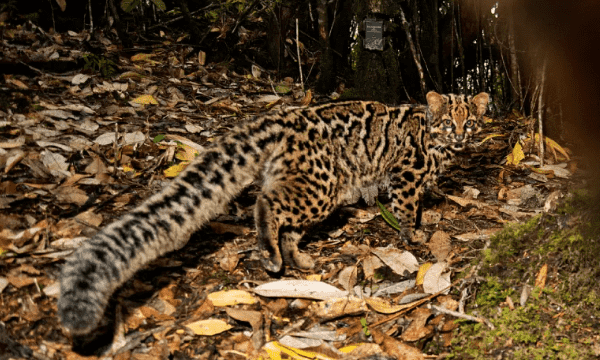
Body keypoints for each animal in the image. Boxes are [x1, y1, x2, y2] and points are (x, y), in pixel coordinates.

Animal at [57, 91, 488, 336]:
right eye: (450, 121)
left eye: (471, 120)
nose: (462, 134)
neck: (439, 142)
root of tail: (285, 118)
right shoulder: (406, 176)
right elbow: (407, 208)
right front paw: (413, 236)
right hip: (321, 186)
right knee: (266, 204)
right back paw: (270, 254)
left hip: (309, 185)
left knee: (287, 224)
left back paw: (297, 258)